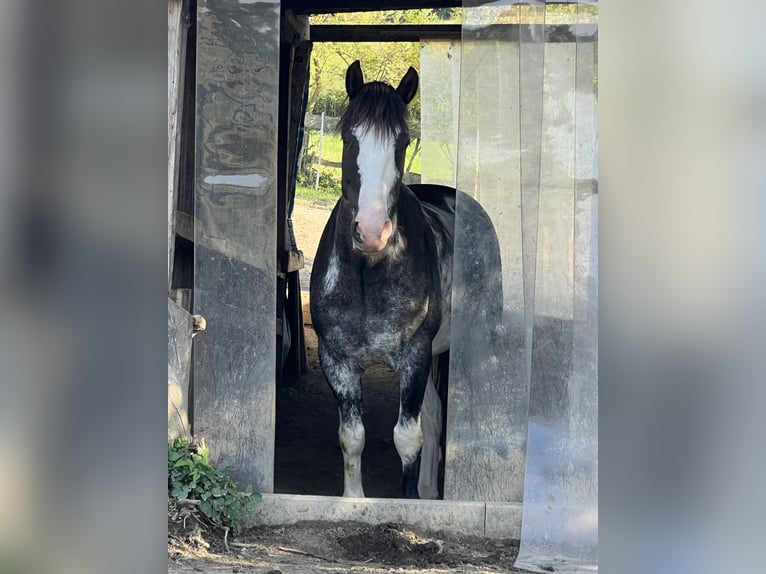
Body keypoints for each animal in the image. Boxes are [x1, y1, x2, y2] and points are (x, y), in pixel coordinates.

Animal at [308, 59, 500, 500]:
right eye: (348, 137)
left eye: (402, 141)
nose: (371, 231)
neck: (368, 275)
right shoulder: (338, 361)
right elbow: (352, 438)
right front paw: (355, 501)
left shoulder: (413, 356)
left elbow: (407, 439)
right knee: (433, 415)